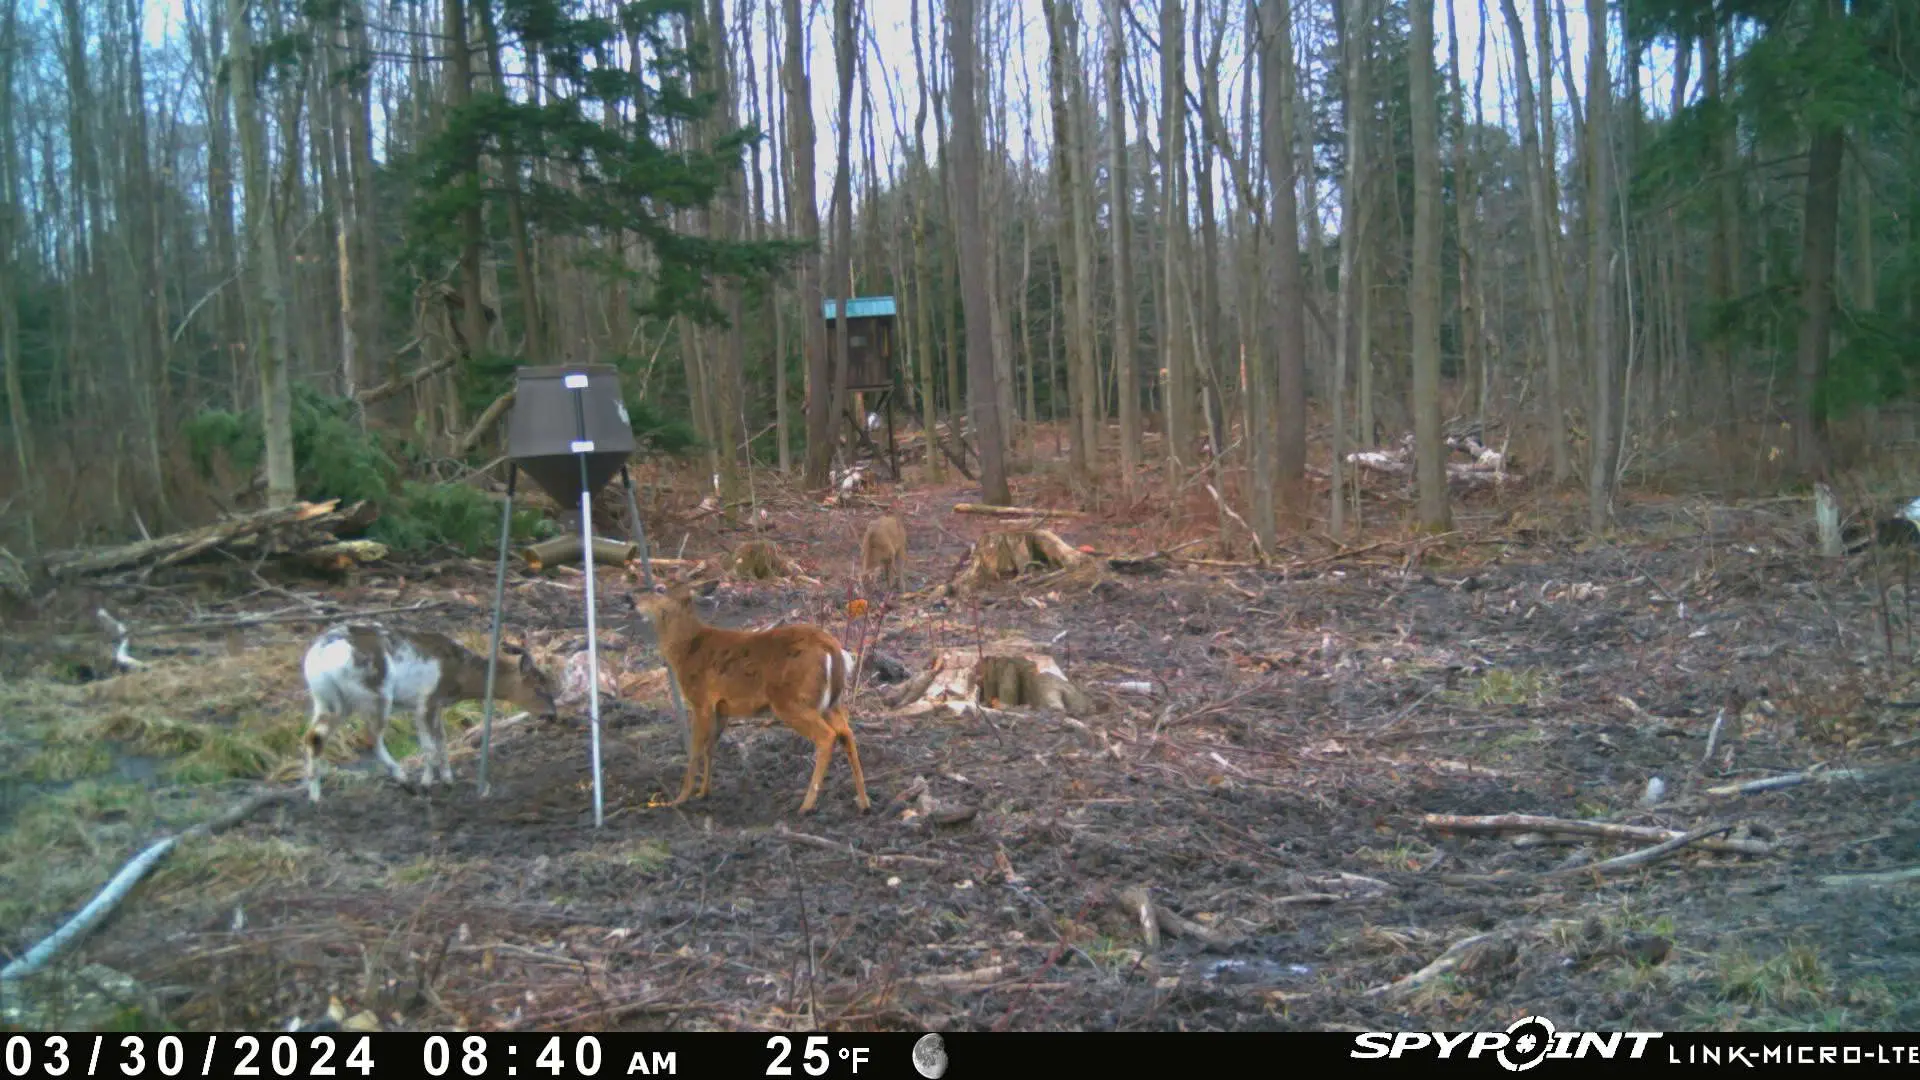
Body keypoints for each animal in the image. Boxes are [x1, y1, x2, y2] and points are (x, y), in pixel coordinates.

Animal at [300, 623, 559, 803]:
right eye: (539, 688)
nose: (553, 715)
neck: (460, 674)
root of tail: (319, 658)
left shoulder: (433, 705)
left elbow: (440, 741)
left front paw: (448, 780)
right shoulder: (427, 699)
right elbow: (429, 746)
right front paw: (426, 785)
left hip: (328, 698)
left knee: (315, 736)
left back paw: (315, 796)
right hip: (375, 693)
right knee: (371, 737)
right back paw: (405, 781)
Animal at [629, 582, 871, 814]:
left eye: (660, 588)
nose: (630, 599)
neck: (686, 649)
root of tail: (833, 649)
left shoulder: (701, 700)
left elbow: (695, 749)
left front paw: (679, 799)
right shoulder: (722, 707)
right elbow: (709, 747)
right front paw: (703, 792)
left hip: (791, 700)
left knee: (827, 736)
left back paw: (806, 806)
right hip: (830, 703)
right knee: (847, 733)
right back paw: (864, 802)